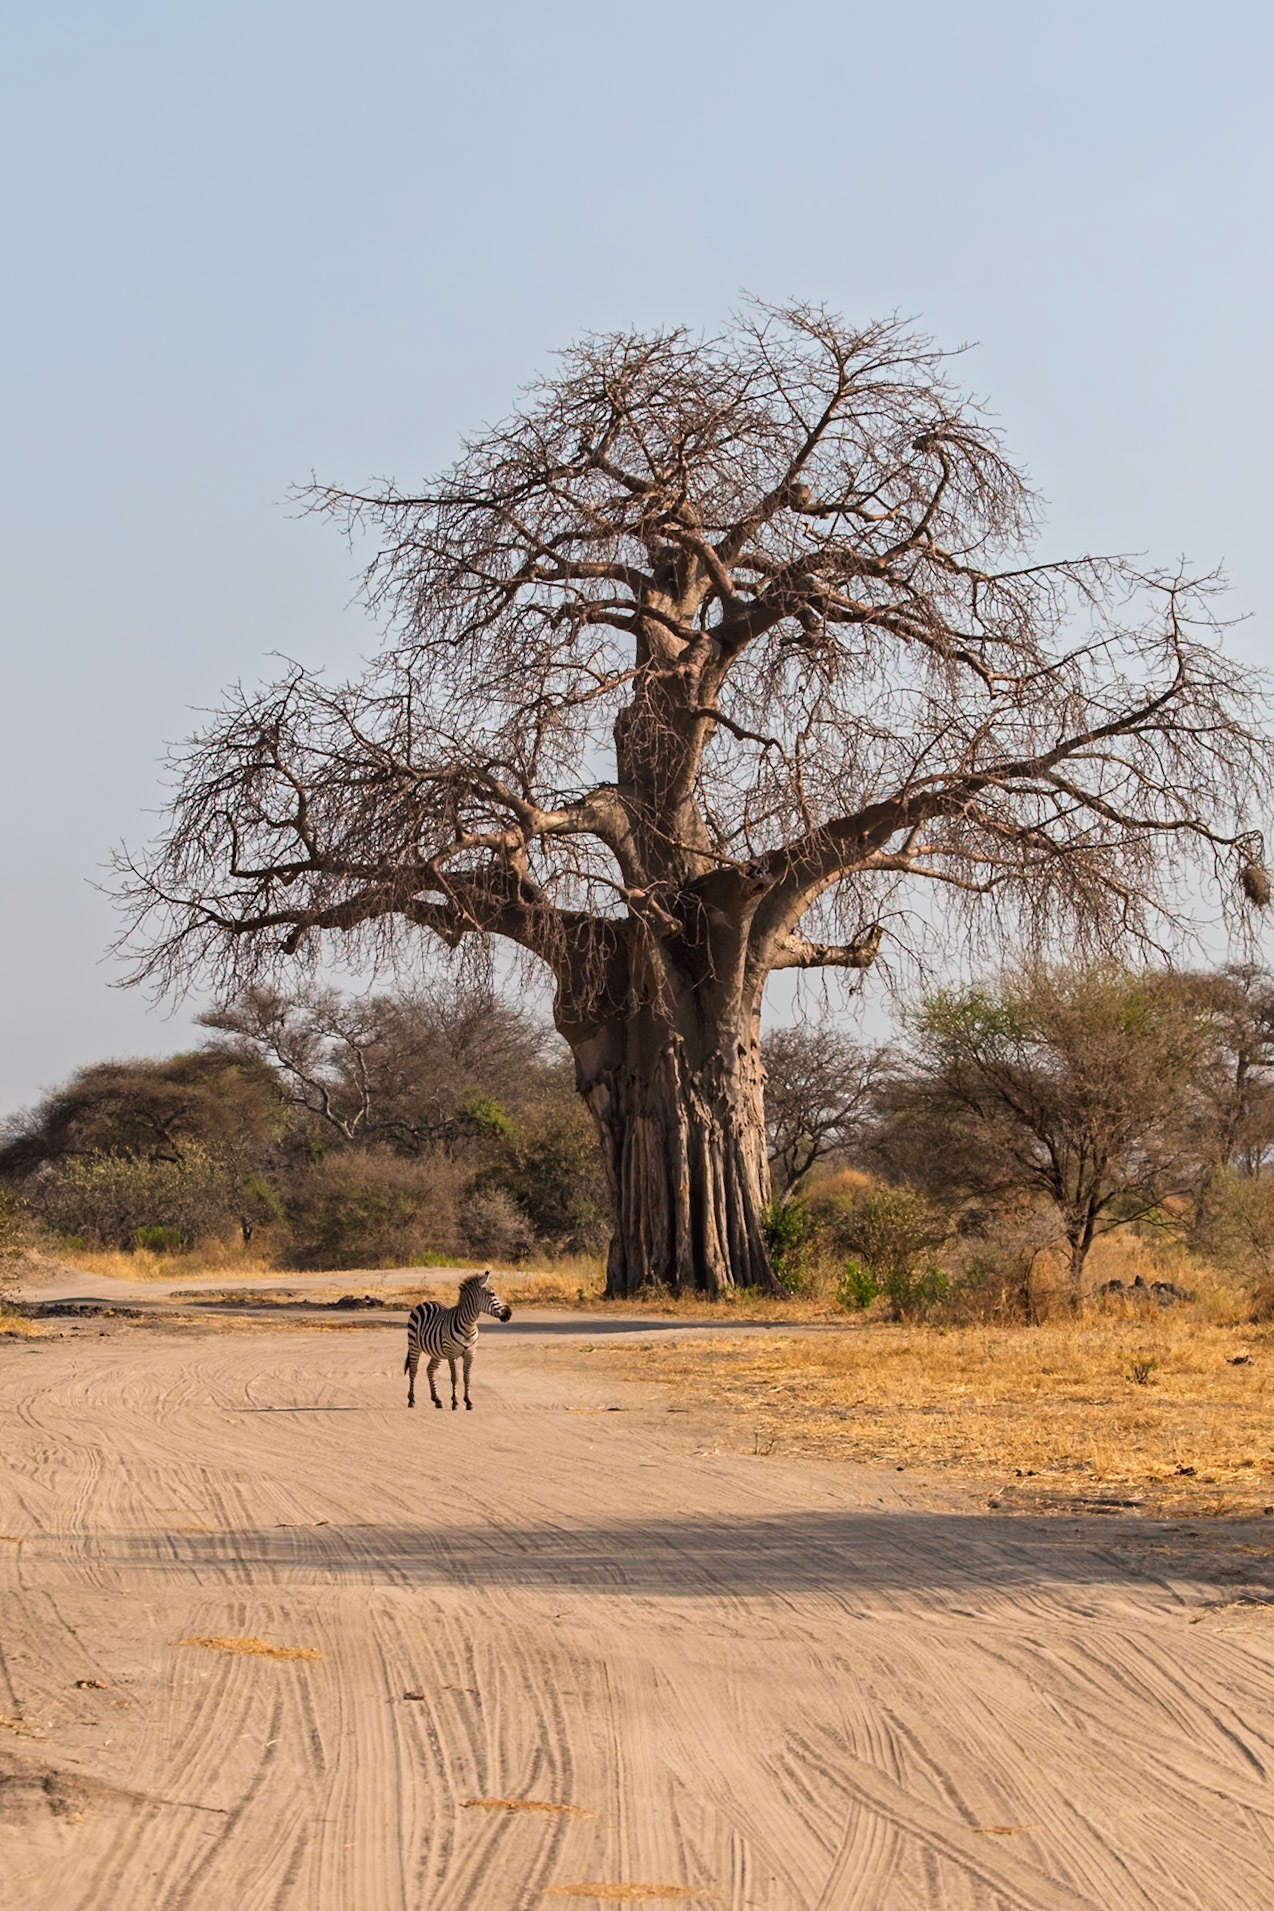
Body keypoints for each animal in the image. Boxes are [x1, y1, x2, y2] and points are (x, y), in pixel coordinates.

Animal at [404, 1270, 513, 1410]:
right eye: (492, 1294)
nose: (509, 1313)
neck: (469, 1326)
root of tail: (425, 1302)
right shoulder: (451, 1353)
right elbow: (454, 1377)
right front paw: (455, 1402)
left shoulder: (470, 1353)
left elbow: (467, 1377)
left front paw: (468, 1401)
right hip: (414, 1345)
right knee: (413, 1370)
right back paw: (411, 1399)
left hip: (437, 1352)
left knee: (430, 1370)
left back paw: (436, 1400)